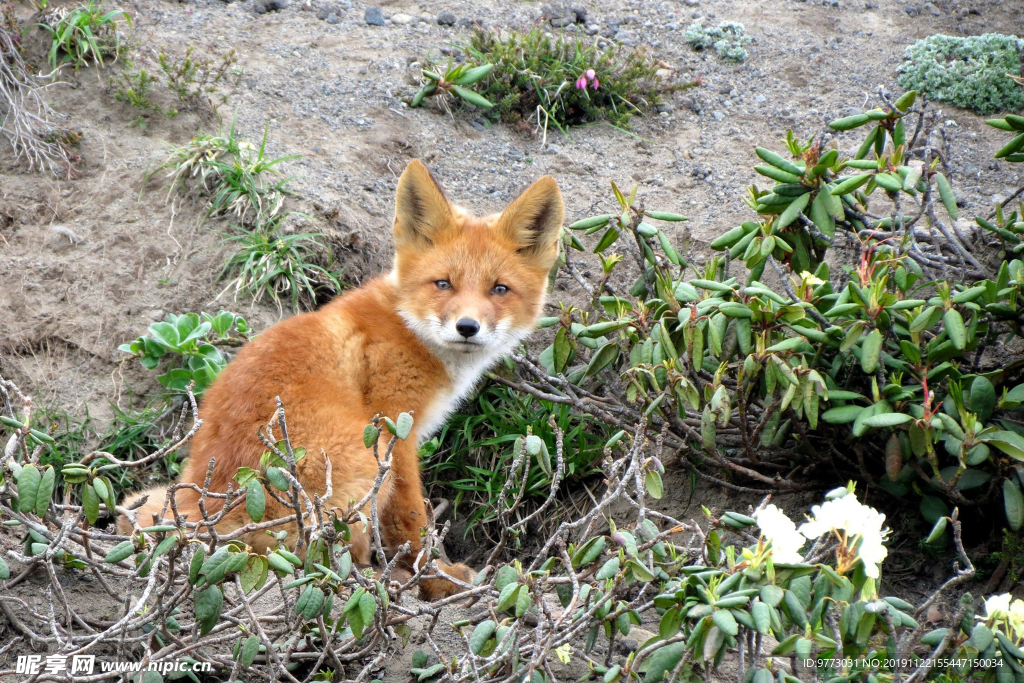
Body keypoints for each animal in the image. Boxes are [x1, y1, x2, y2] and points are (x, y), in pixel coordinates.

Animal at [122, 158, 569, 598]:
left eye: (499, 289)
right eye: (443, 283)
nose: (467, 327)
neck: (407, 328)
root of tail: (218, 507)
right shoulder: (395, 430)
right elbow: (410, 519)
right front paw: (436, 578)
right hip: (362, 460)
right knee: (319, 556)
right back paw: (382, 579)